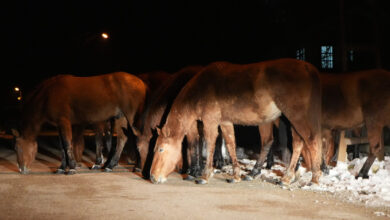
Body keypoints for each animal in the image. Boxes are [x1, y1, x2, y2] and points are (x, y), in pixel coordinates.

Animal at [13, 73, 148, 174]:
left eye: (17, 148)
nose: (21, 169)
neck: (49, 94)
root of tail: (141, 83)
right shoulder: (58, 125)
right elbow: (62, 146)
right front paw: (62, 167)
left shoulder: (64, 121)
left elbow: (67, 144)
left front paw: (72, 167)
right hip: (121, 117)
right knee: (122, 138)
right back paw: (110, 165)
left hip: (131, 117)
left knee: (138, 137)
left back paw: (137, 166)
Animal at [149, 57, 320, 185]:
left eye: (160, 149)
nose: (152, 177)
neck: (200, 89)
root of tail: (308, 68)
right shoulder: (224, 122)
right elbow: (231, 144)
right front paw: (235, 175)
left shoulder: (210, 121)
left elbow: (211, 143)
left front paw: (205, 175)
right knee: (292, 142)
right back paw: (278, 175)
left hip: (296, 117)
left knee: (311, 141)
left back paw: (313, 178)